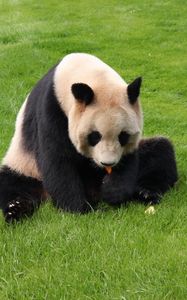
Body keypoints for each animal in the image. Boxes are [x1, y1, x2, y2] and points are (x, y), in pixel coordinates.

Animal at [0, 53, 178, 223]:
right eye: (95, 136)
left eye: (123, 136)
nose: (108, 163)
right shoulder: (51, 110)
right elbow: (57, 160)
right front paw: (78, 208)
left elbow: (128, 159)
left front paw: (113, 192)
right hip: (25, 165)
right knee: (13, 183)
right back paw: (15, 210)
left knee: (161, 152)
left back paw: (146, 192)